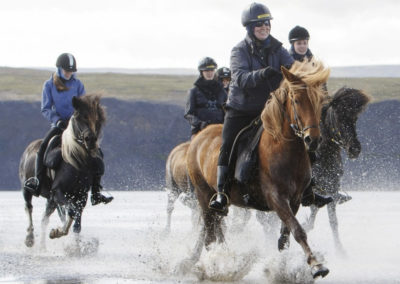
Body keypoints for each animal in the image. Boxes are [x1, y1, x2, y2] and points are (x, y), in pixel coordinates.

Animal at [19, 94, 106, 250]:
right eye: (79, 117)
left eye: (98, 120)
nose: (90, 140)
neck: (78, 162)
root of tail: (28, 149)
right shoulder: (58, 191)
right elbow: (71, 211)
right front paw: (58, 232)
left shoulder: (81, 196)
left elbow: (77, 222)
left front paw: (74, 246)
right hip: (27, 189)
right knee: (29, 207)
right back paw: (29, 239)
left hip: (50, 199)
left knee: (44, 218)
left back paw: (42, 246)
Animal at [186, 58, 330, 278]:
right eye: (296, 100)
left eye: (320, 102)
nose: (312, 140)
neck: (286, 150)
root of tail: (198, 137)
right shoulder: (276, 198)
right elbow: (298, 230)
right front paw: (316, 265)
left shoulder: (295, 200)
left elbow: (285, 239)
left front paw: (281, 269)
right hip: (203, 194)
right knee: (210, 235)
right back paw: (215, 266)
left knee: (212, 232)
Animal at [304, 86, 372, 251]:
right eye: (337, 118)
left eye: (354, 119)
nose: (354, 149)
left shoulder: (331, 189)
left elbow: (332, 221)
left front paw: (340, 251)